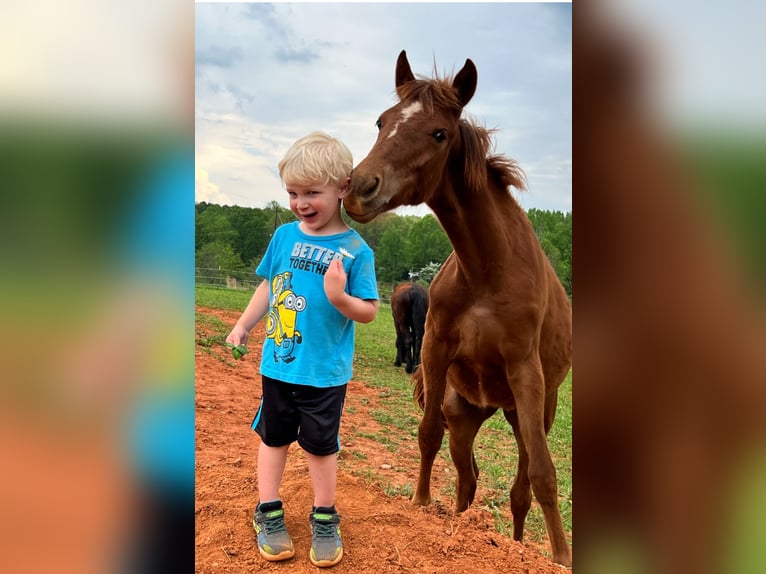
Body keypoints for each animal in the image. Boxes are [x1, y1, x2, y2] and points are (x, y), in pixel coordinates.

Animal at [344, 51, 572, 568]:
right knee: (469, 478)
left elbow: (545, 475)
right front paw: (420, 504)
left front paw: (561, 556)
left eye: (438, 133)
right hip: (467, 411)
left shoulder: (525, 373)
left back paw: (516, 546)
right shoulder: (434, 349)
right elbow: (427, 433)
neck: (487, 267)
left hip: (528, 409)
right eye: (382, 121)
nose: (360, 187)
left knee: (522, 487)